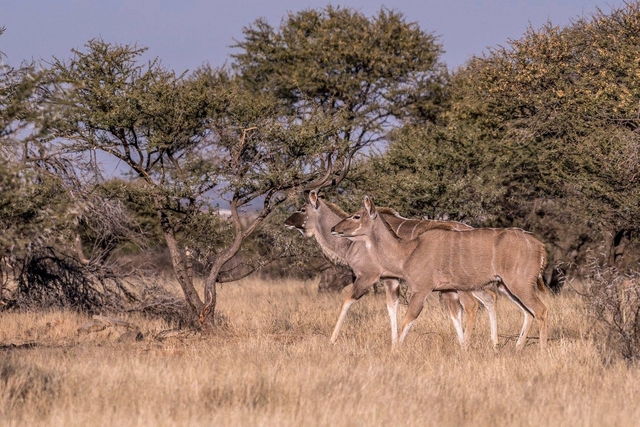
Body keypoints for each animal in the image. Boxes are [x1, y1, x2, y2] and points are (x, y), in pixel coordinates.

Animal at [332, 197, 548, 352]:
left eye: (356, 216)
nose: (334, 229)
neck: (408, 252)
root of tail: (540, 245)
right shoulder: (449, 290)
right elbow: (456, 319)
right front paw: (463, 350)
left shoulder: (421, 290)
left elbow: (408, 319)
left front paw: (394, 352)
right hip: (506, 286)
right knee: (528, 312)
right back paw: (516, 348)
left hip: (519, 284)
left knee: (541, 310)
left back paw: (542, 351)